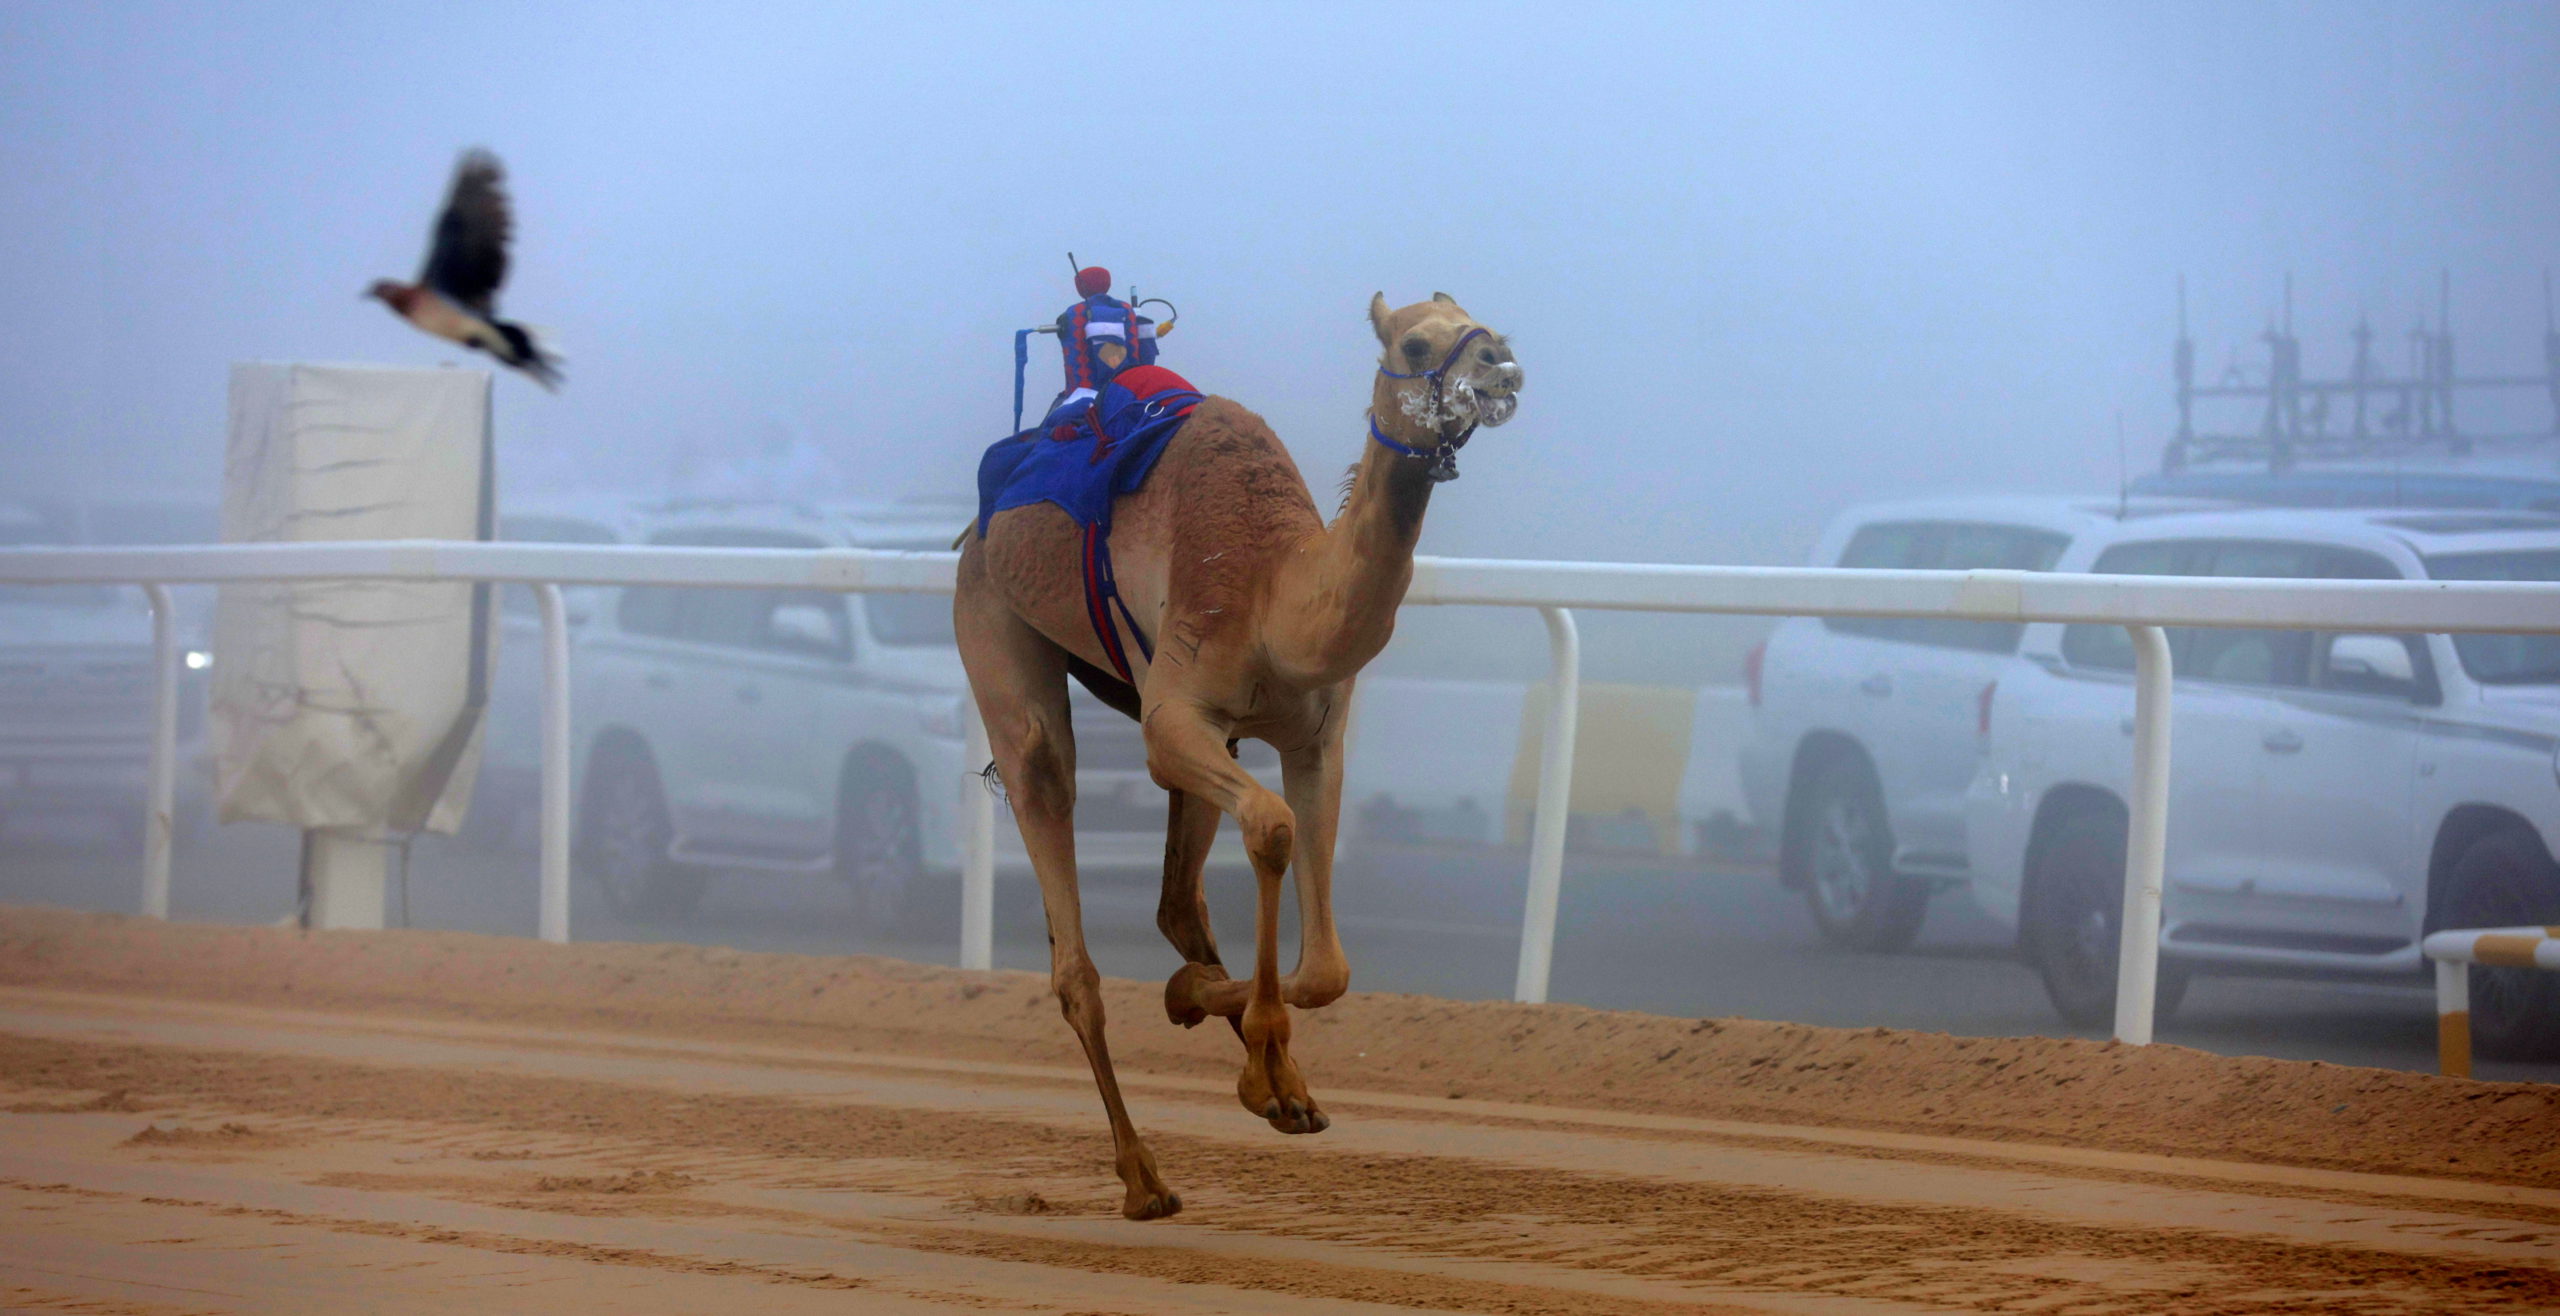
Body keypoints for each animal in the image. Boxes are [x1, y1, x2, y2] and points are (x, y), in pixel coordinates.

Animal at [957, 291, 1515, 1213]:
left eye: (1489, 326)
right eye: (1415, 342)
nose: (1500, 367)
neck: (1274, 597)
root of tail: (980, 521)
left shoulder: (1316, 738)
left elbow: (1327, 967)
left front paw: (1263, 1069)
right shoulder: (1172, 718)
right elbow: (1271, 829)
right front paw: (1208, 1017)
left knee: (1178, 903)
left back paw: (1284, 1089)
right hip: (997, 623)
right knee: (1063, 888)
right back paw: (1144, 1178)